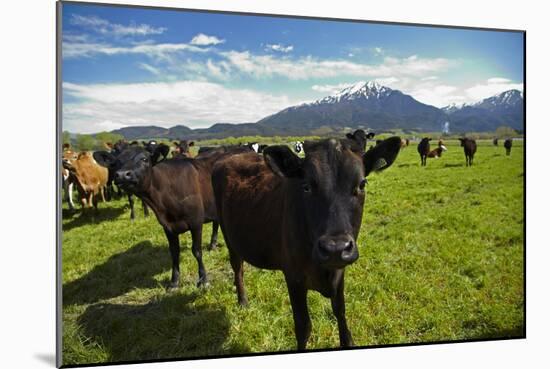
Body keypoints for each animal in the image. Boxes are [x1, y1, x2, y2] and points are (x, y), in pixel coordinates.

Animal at [211, 134, 402, 348]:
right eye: (306, 186)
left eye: (362, 184)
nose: (335, 249)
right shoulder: (293, 277)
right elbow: (303, 327)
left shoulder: (339, 273)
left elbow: (340, 312)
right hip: (229, 237)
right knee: (238, 268)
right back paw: (243, 301)